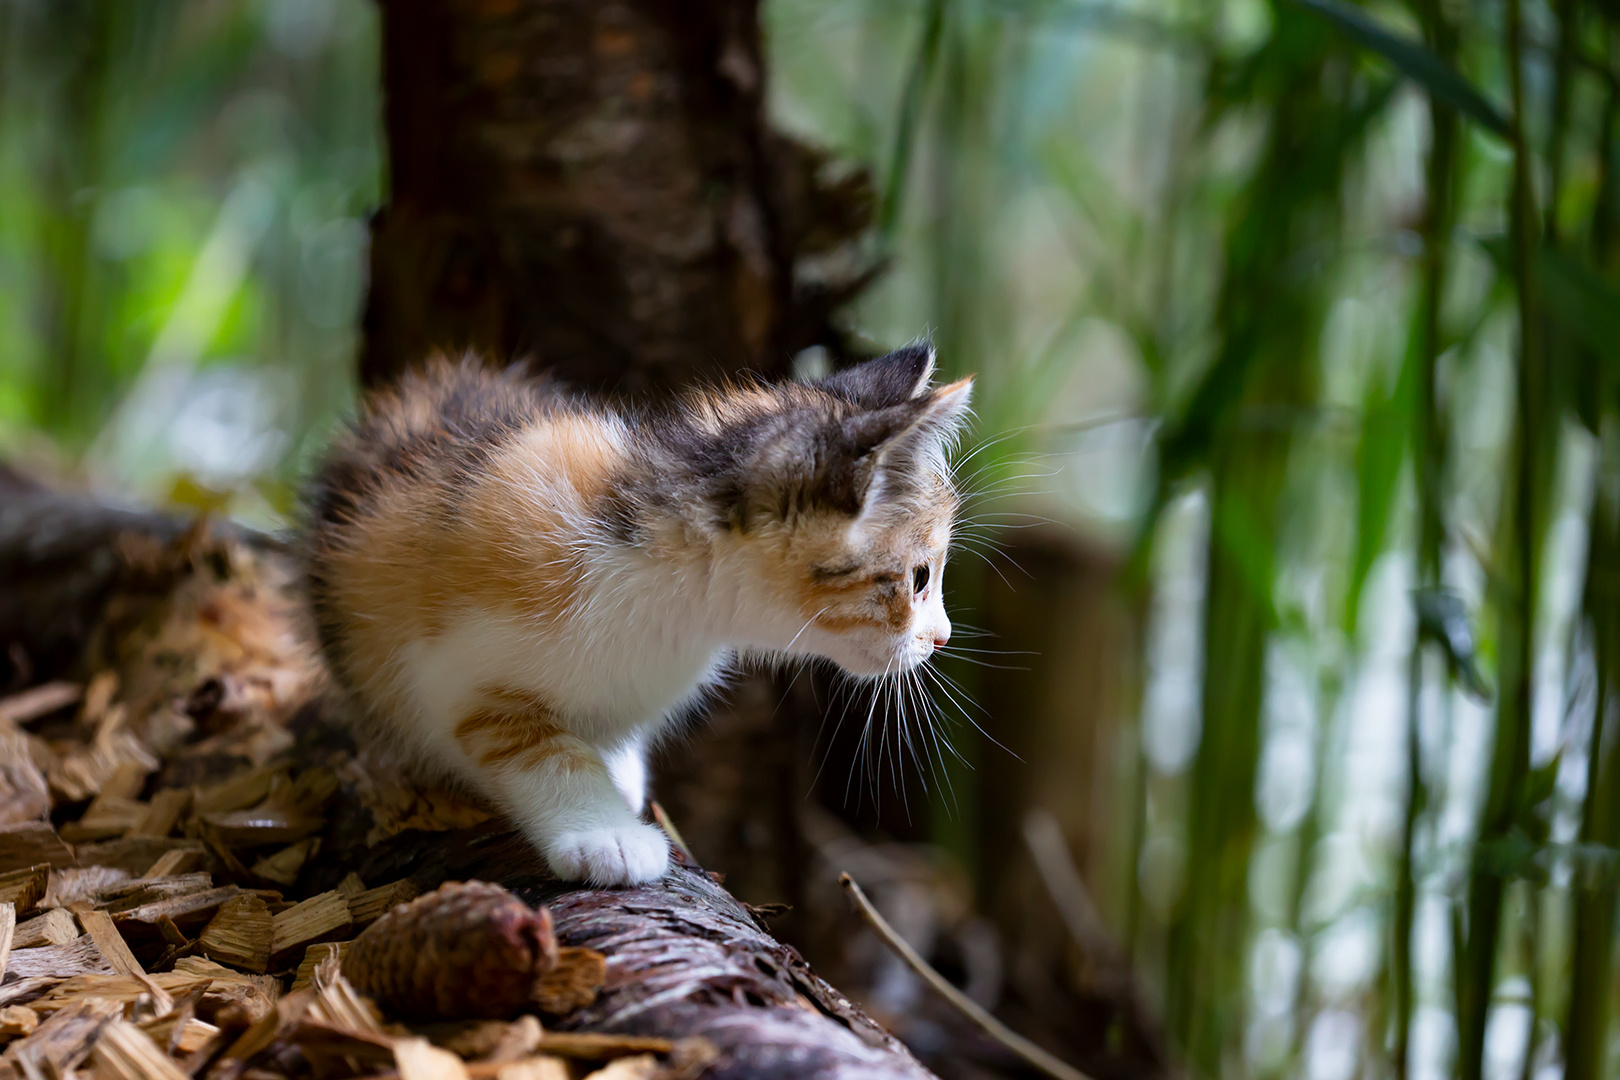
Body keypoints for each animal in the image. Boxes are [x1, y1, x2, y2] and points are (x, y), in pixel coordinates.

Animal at [302, 346, 965, 887]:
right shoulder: (452, 667)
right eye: (920, 578)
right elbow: (538, 749)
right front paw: (606, 834)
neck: (675, 596)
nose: (941, 638)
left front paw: (620, 774)